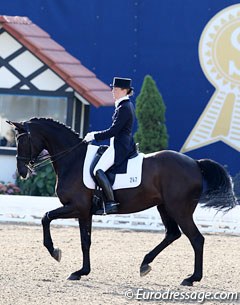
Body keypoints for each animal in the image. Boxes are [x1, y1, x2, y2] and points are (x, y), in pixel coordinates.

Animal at [7, 117, 238, 284]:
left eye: (21, 140)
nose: (22, 172)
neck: (73, 160)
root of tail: (195, 163)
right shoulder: (84, 211)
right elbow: (85, 241)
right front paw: (81, 271)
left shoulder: (77, 207)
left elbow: (46, 218)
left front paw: (55, 252)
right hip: (164, 207)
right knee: (172, 234)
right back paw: (145, 264)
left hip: (179, 209)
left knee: (196, 239)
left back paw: (191, 278)